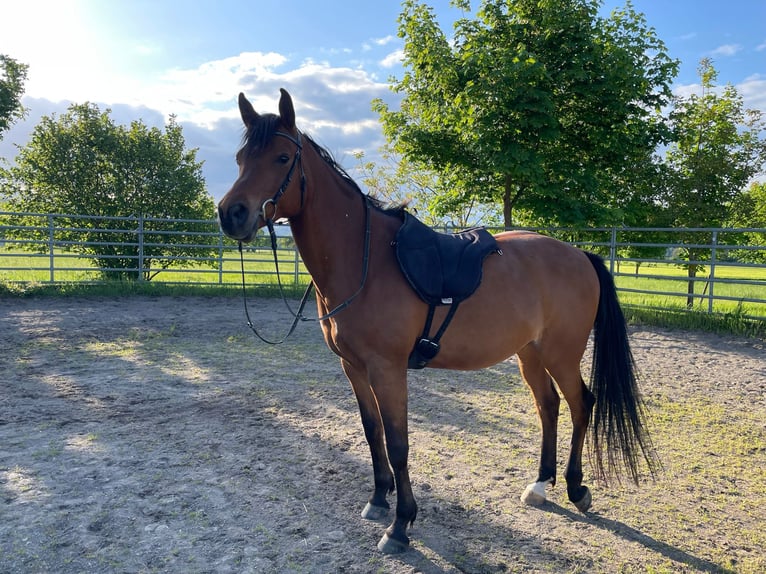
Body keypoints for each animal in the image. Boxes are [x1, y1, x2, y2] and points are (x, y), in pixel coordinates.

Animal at [218, 91, 660, 560]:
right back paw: (541, 485)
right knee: (549, 407)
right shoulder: (353, 368)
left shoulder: (387, 370)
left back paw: (577, 489)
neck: (365, 260)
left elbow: (398, 444)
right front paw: (378, 500)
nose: (231, 214)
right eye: (241, 158)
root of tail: (581, 256)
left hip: (561, 353)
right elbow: (373, 433)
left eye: (282, 157)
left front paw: (400, 526)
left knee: (581, 405)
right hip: (530, 353)